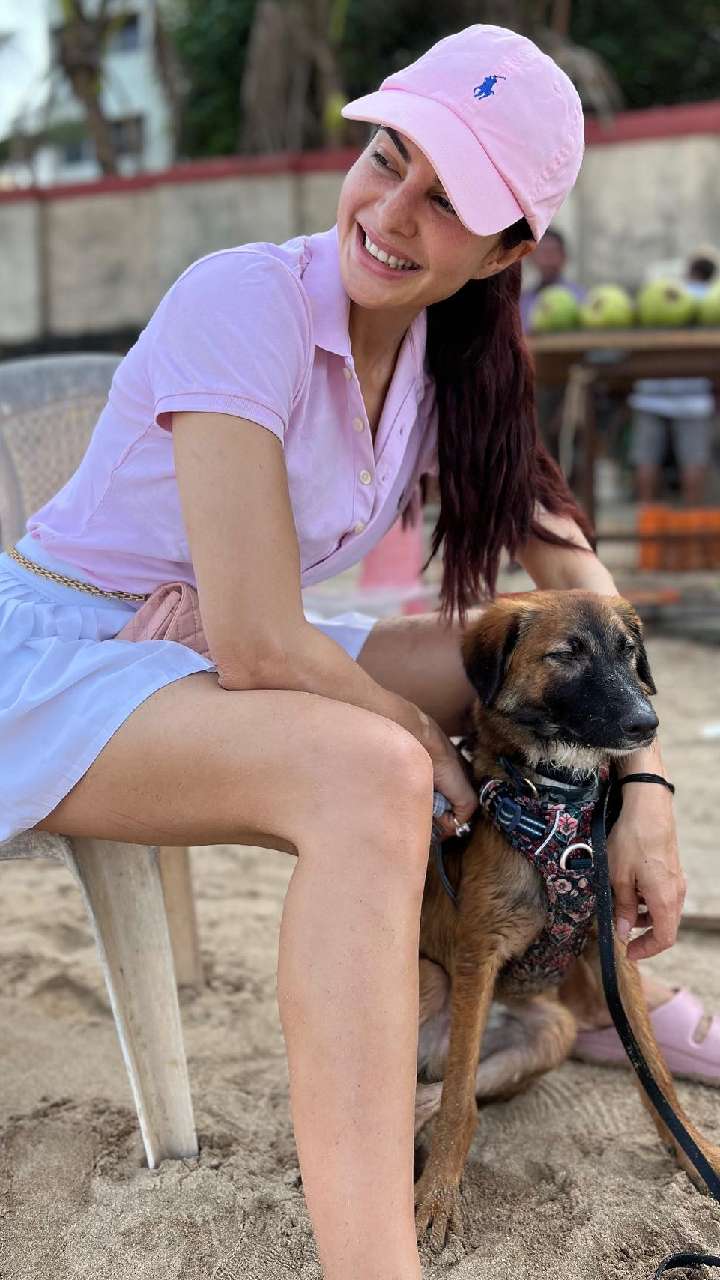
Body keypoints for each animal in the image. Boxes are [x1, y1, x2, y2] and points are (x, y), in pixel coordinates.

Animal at [413, 589, 720, 1248]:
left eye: (629, 653)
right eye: (566, 654)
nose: (647, 724)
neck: (558, 807)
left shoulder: (616, 953)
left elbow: (656, 1075)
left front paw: (697, 1154)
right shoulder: (478, 953)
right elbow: (458, 1105)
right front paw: (439, 1196)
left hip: (555, 1031)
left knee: (433, 1091)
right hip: (431, 982)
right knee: (431, 1085)